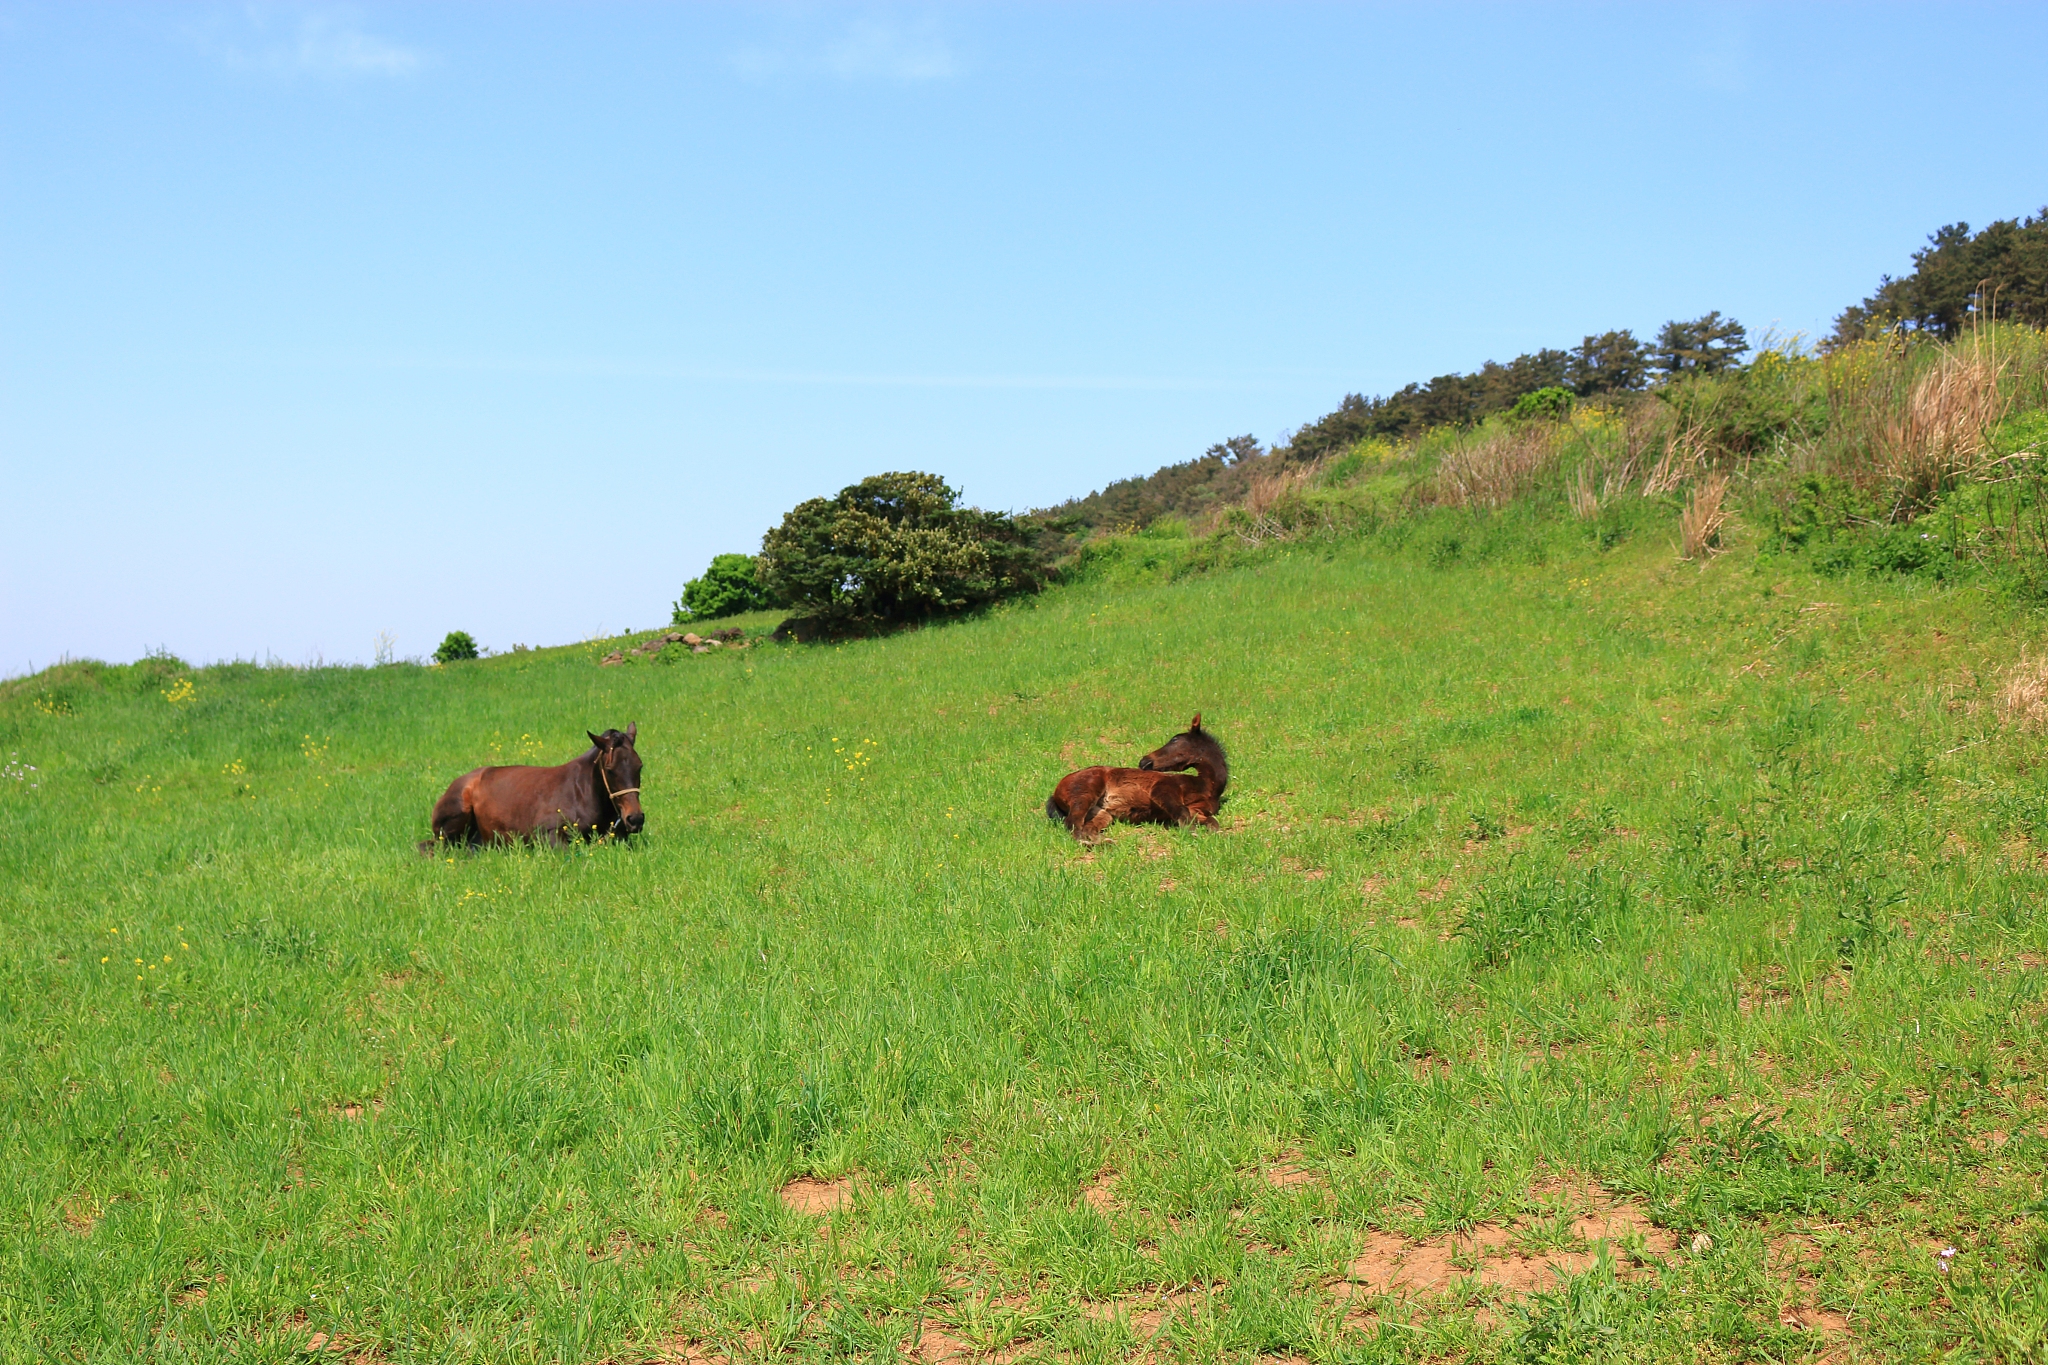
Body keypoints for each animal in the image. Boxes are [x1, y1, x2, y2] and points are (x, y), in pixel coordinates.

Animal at [1045, 714, 1228, 842]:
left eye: (1175, 739)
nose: (1144, 761)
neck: (1205, 787)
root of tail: (1055, 792)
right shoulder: (1163, 789)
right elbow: (1183, 814)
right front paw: (1195, 835)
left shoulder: (1198, 811)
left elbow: (1212, 822)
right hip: (1086, 792)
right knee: (1073, 824)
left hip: (1101, 813)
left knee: (1086, 828)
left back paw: (1104, 843)